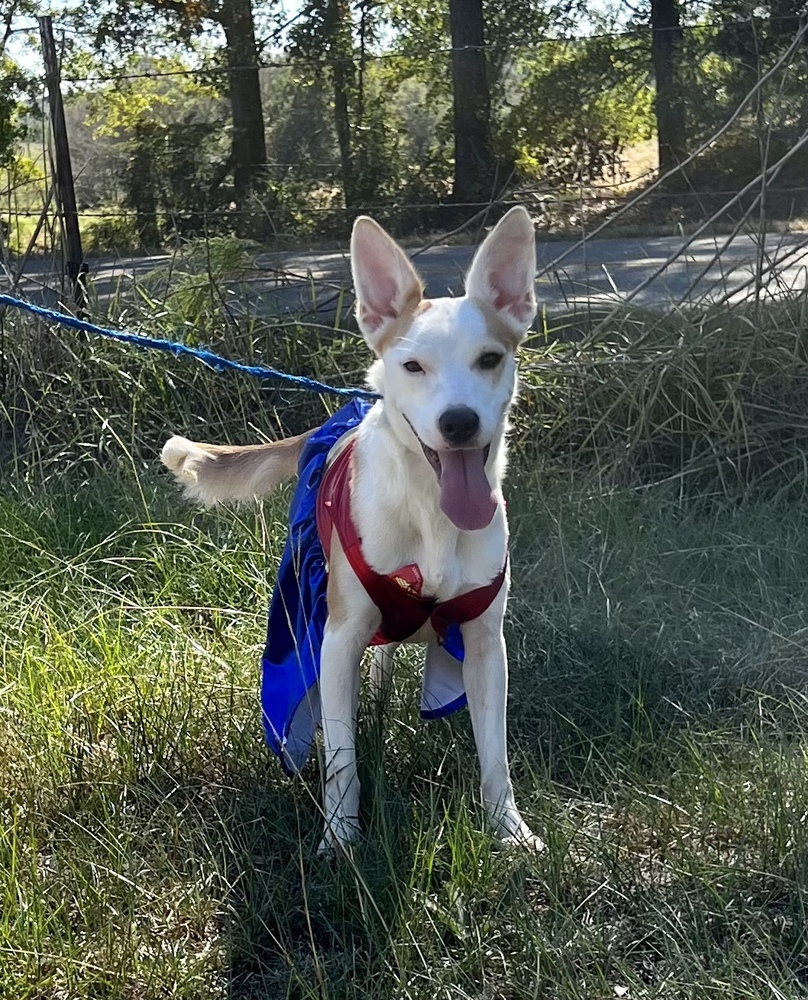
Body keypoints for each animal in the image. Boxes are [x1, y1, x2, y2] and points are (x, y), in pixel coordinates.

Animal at [162, 207, 544, 856]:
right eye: (413, 366)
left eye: (490, 359)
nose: (459, 422)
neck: (431, 514)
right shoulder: (337, 641)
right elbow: (342, 757)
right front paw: (340, 842)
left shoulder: (484, 647)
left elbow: (495, 757)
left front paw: (510, 832)